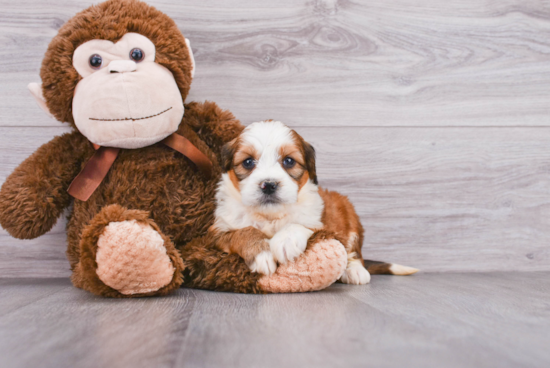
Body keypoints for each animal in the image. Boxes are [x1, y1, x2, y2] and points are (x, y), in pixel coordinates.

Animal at [211, 119, 418, 284]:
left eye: (288, 161)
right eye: (248, 162)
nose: (269, 185)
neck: (271, 216)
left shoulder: (324, 224)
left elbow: (302, 225)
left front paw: (285, 241)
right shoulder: (215, 234)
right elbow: (242, 231)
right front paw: (260, 253)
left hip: (348, 212)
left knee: (355, 252)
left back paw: (356, 271)